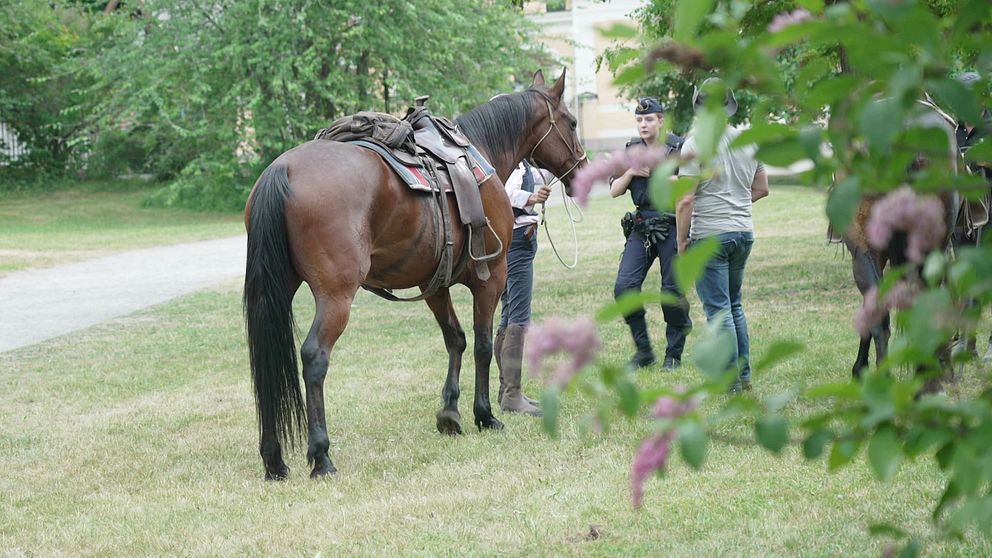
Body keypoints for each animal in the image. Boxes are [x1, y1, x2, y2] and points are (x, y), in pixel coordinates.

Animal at [239, 70, 584, 482]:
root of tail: (284, 168)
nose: (582, 168)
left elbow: (456, 340)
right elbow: (483, 345)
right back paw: (321, 456)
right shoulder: (491, 277)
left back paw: (273, 459)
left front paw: (449, 414)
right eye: (572, 122)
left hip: (274, 292)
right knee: (314, 357)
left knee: (266, 363)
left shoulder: (433, 284)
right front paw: (484, 415)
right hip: (336, 296)